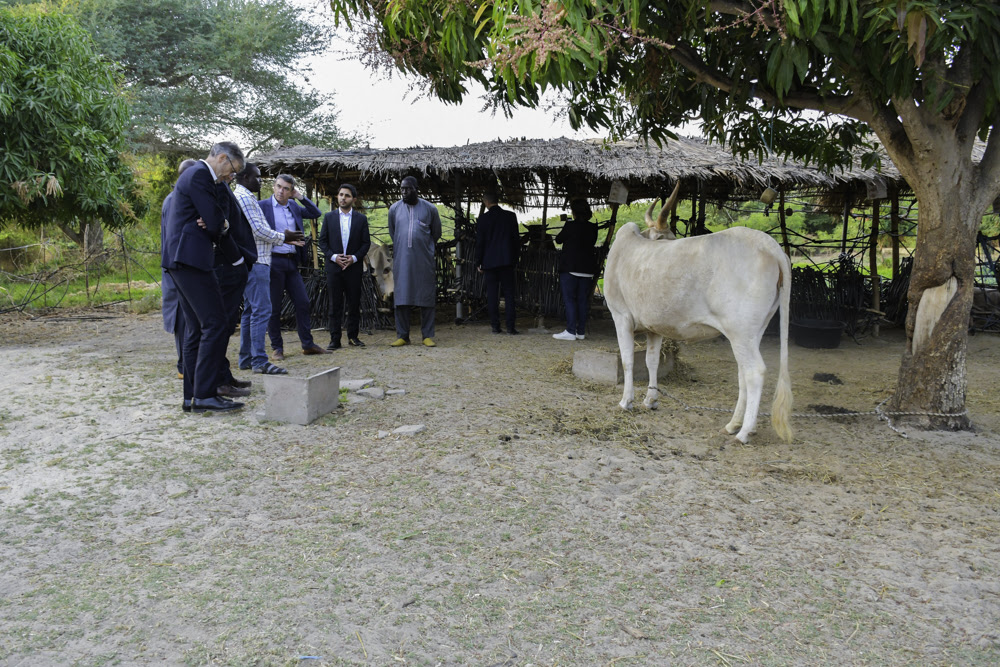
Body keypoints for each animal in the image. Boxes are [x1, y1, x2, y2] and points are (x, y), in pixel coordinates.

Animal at [604, 183, 792, 444]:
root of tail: (768, 244)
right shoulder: (654, 328)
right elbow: (651, 361)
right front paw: (650, 400)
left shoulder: (620, 316)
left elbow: (628, 360)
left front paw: (625, 401)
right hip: (751, 333)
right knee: (743, 372)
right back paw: (733, 424)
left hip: (740, 331)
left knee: (755, 372)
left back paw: (743, 432)